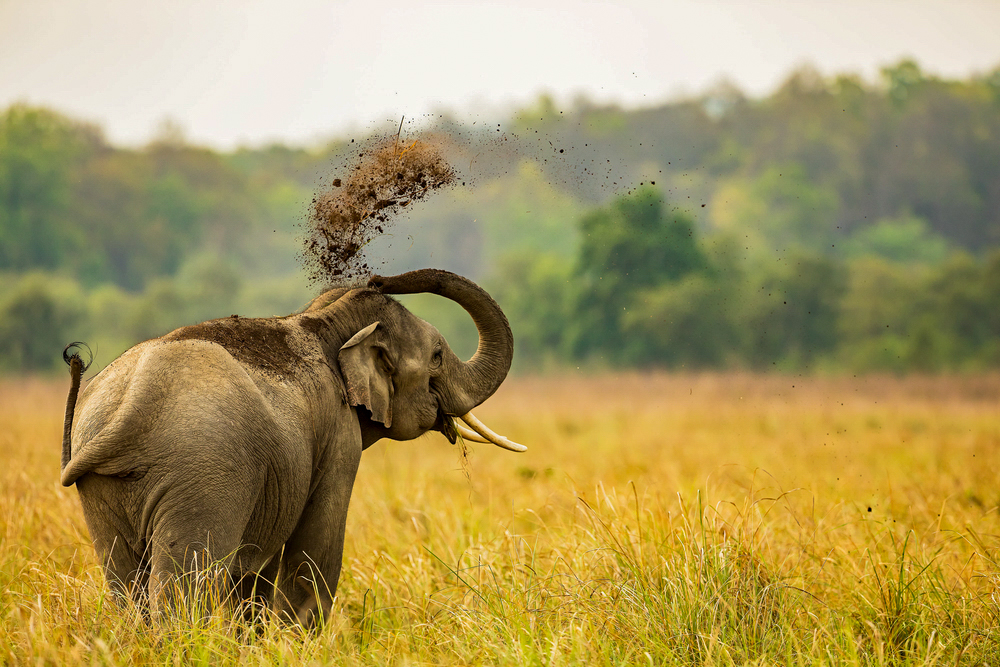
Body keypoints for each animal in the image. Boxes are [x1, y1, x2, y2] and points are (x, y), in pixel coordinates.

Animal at [58, 268, 528, 624]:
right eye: (437, 356)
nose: (380, 277)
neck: (323, 320)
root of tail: (134, 402)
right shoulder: (339, 435)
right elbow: (318, 541)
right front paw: (297, 640)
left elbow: (257, 567)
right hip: (204, 474)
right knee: (185, 585)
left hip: (104, 488)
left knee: (126, 585)